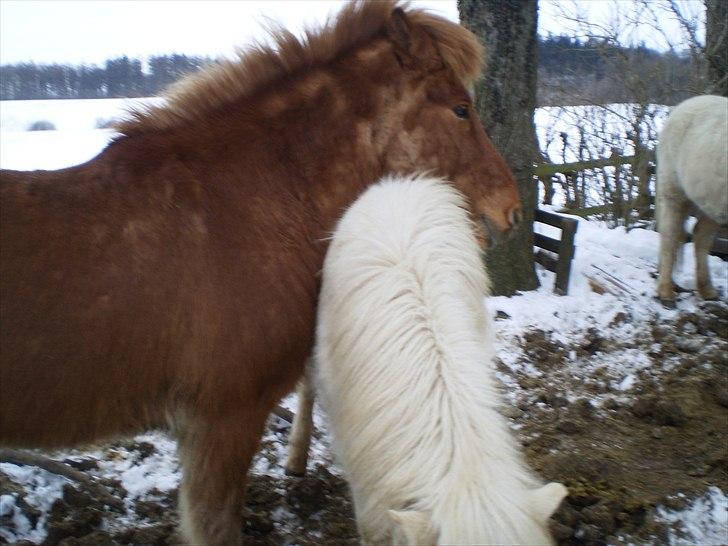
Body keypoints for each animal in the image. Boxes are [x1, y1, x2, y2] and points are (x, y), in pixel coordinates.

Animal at [656, 94, 728, 306]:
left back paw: (706, 290)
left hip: (711, 203)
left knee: (700, 236)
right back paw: (666, 291)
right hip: (674, 192)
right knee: (670, 235)